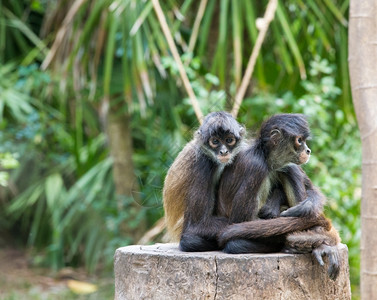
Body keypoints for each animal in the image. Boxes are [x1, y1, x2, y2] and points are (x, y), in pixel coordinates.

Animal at [162, 110, 245, 251]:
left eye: (229, 140)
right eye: (215, 141)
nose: (224, 151)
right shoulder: (202, 163)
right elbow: (196, 226)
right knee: (189, 241)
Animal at [216, 113, 342, 280]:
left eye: (304, 141)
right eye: (299, 141)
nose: (308, 150)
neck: (265, 157)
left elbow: (312, 192)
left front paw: (306, 208)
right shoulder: (256, 166)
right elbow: (240, 220)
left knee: (290, 168)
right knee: (235, 244)